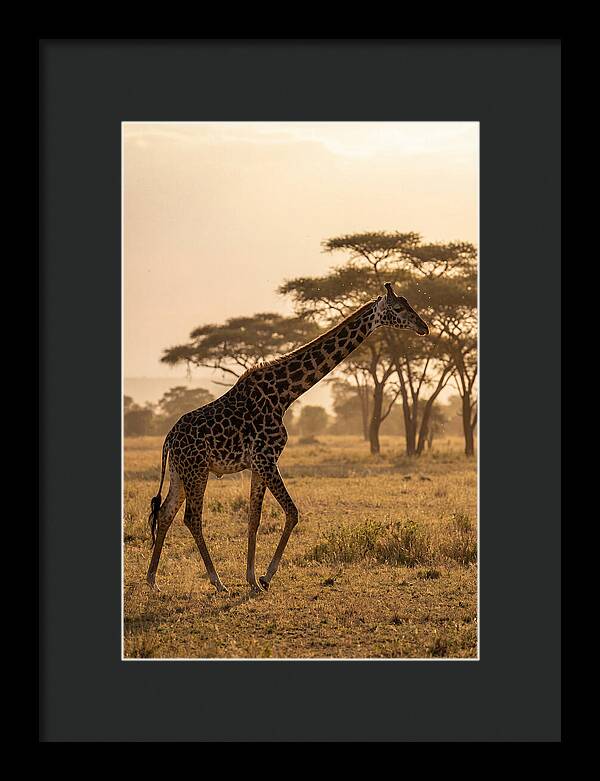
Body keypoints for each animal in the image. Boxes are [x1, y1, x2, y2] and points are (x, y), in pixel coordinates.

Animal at [145, 282, 429, 594]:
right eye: (399, 308)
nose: (424, 327)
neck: (284, 394)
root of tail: (169, 438)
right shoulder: (266, 458)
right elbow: (292, 512)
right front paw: (266, 577)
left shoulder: (258, 464)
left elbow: (254, 518)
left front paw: (252, 579)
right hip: (197, 470)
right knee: (192, 518)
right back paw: (217, 582)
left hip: (180, 472)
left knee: (166, 512)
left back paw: (152, 580)